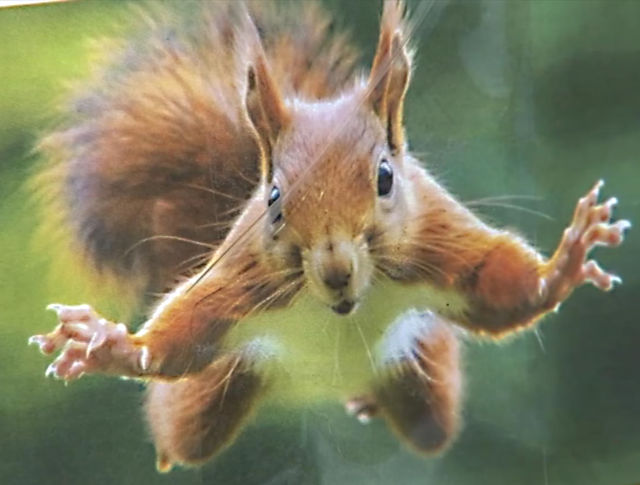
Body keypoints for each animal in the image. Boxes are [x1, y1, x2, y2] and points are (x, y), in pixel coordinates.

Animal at [28, 0, 630, 473]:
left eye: (385, 177)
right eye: (273, 198)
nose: (337, 269)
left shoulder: (436, 241)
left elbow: (497, 288)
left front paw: (564, 265)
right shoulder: (242, 275)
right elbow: (184, 330)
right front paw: (113, 345)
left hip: (426, 380)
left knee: (431, 425)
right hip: (212, 395)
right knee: (185, 432)